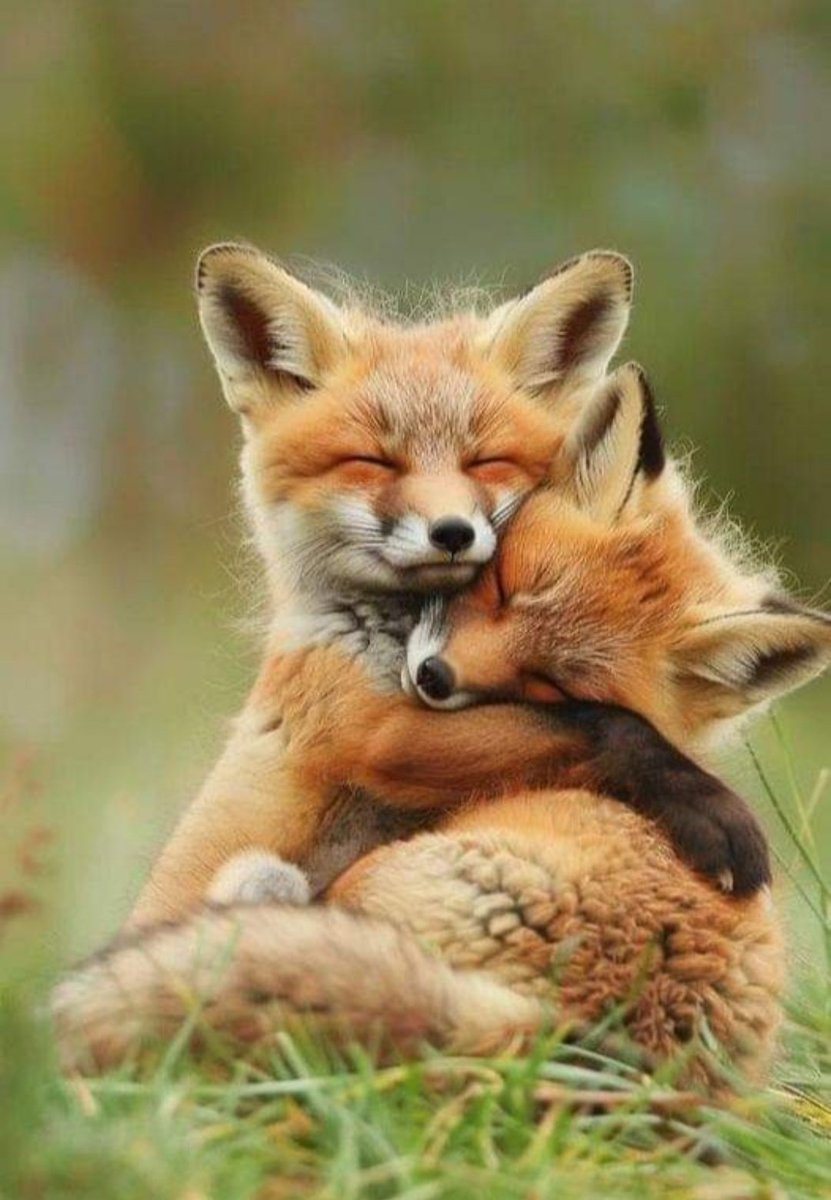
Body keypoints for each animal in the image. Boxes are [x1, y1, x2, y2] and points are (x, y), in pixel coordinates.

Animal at [54, 364, 830, 1087]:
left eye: (548, 682)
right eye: (500, 587)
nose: (433, 678)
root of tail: (571, 1036)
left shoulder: (387, 734)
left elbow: (598, 723)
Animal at [130, 241, 766, 927]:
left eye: (484, 461)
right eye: (373, 462)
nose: (453, 531)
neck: (390, 638)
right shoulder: (370, 728)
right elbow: (599, 724)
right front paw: (713, 809)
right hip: (262, 879)